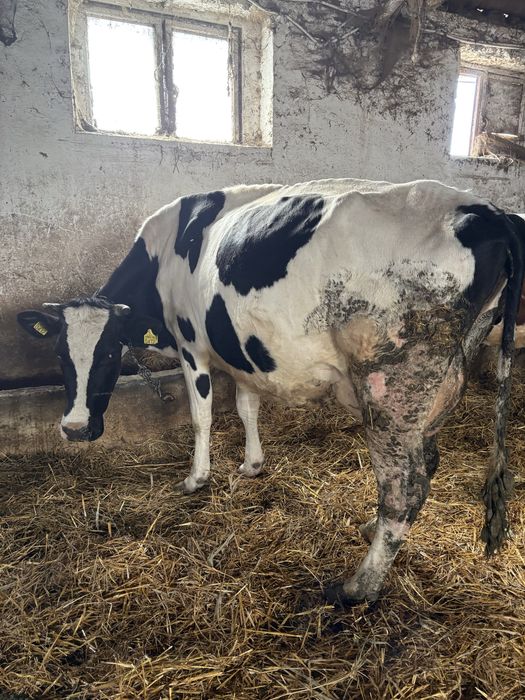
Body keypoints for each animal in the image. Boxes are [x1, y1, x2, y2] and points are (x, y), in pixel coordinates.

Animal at [17, 178, 525, 607]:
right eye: (61, 354)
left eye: (108, 353)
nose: (75, 429)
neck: (168, 251)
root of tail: (489, 211)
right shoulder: (243, 355)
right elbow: (247, 407)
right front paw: (252, 465)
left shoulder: (191, 346)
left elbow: (202, 416)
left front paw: (196, 478)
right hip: (439, 381)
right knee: (426, 463)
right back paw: (369, 528)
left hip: (392, 383)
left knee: (405, 488)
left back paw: (358, 587)